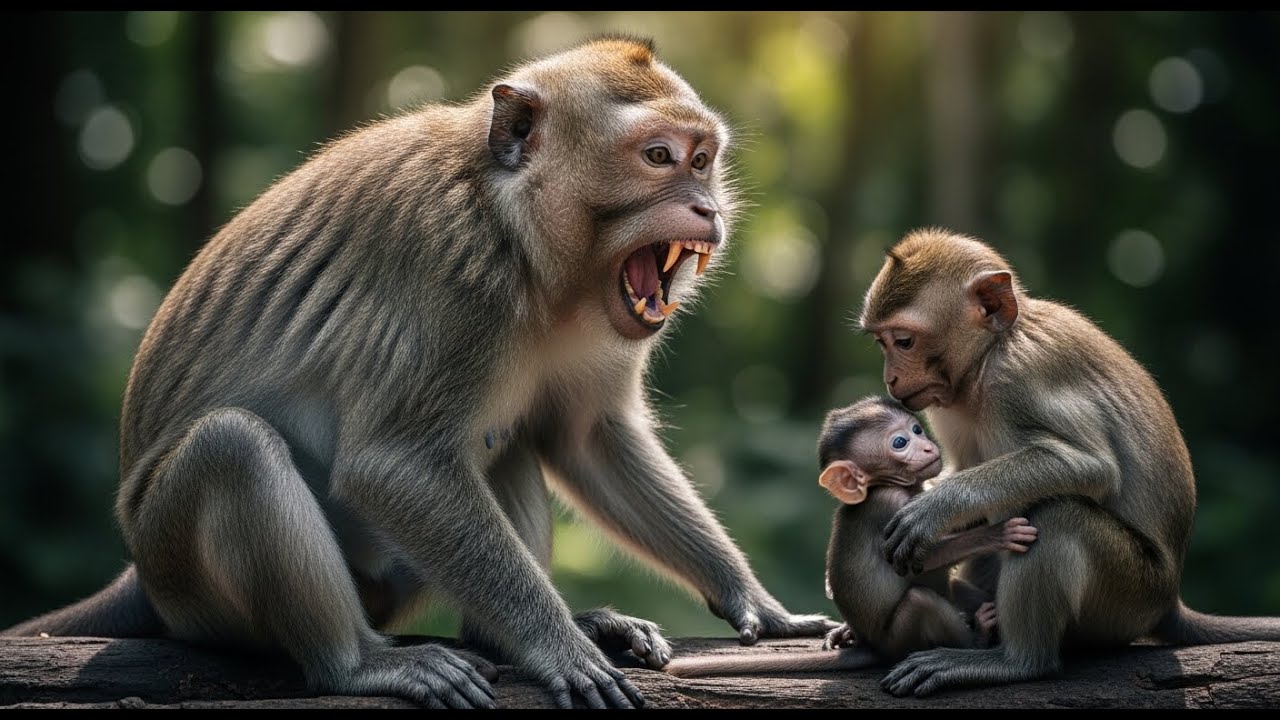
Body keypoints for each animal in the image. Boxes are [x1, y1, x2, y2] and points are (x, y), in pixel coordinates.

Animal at [2, 36, 836, 709]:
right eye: (658, 157)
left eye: (702, 160)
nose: (707, 209)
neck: (520, 235)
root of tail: (140, 572)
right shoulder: (449, 276)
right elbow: (391, 465)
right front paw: (559, 649)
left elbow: (585, 436)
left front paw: (753, 600)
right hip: (188, 580)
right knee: (232, 448)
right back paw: (357, 665)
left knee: (508, 442)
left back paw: (513, 634)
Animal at [663, 396, 1037, 678]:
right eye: (900, 442)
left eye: (916, 429)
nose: (928, 447)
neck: (880, 485)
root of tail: (873, 645)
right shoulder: (890, 505)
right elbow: (919, 557)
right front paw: (996, 533)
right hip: (898, 639)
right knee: (921, 600)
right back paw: (977, 640)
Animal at [857, 227, 1280, 697]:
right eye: (881, 342)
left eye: (905, 341)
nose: (891, 379)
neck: (989, 355)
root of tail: (1168, 601)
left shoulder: (1019, 378)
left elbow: (1091, 467)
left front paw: (934, 508)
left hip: (1128, 597)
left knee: (1058, 514)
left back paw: (1015, 661)